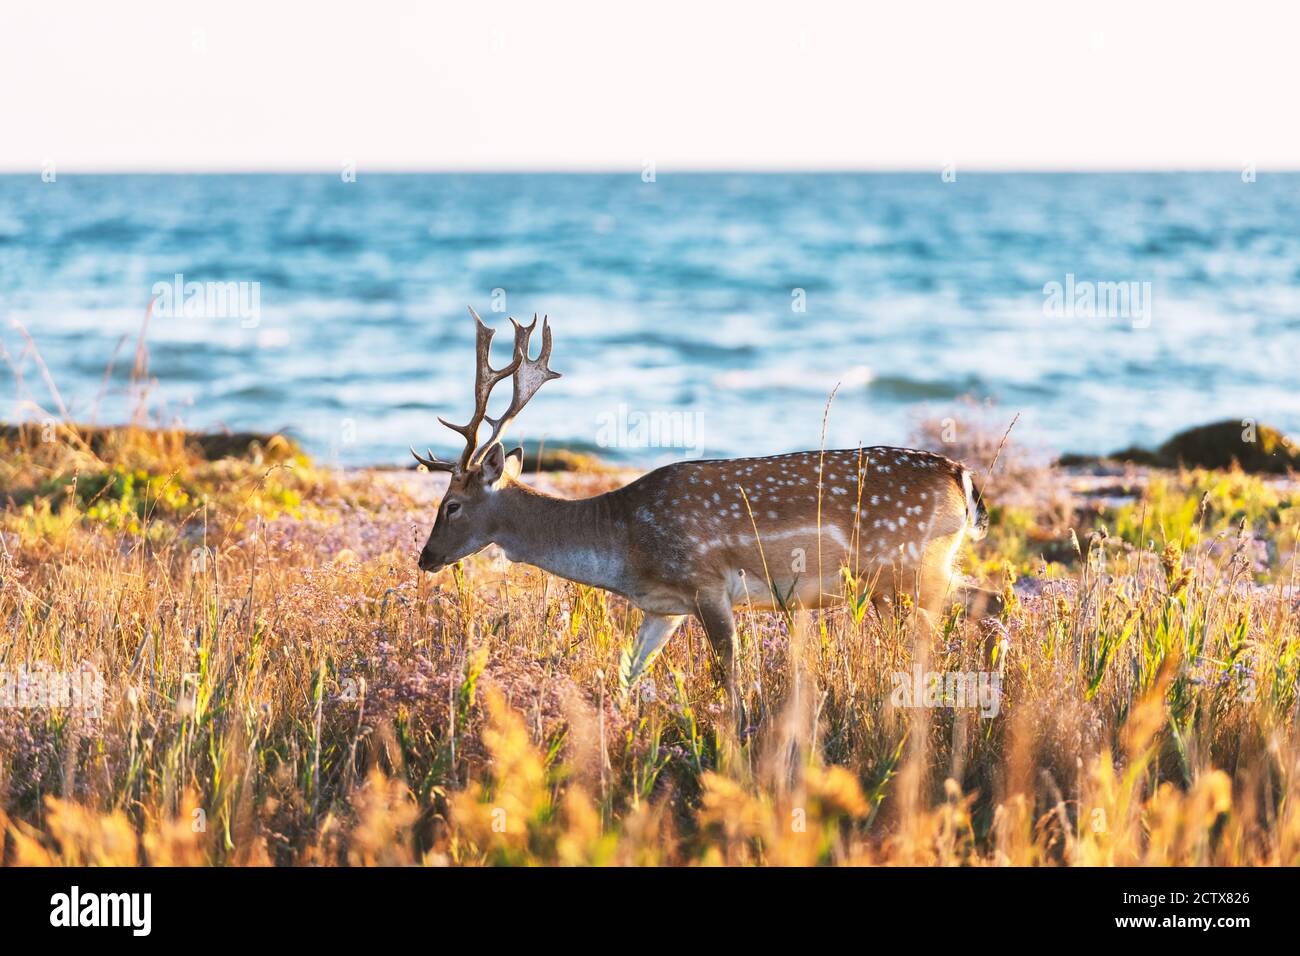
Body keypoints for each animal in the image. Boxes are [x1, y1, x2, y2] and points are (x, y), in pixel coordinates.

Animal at [414, 308, 990, 697]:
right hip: (920, 572)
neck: (624, 546)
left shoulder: (708, 583)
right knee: (990, 601)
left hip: (906, 566)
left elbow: (729, 681)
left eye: (451, 505)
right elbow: (628, 675)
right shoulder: (663, 607)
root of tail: (961, 476)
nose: (425, 558)